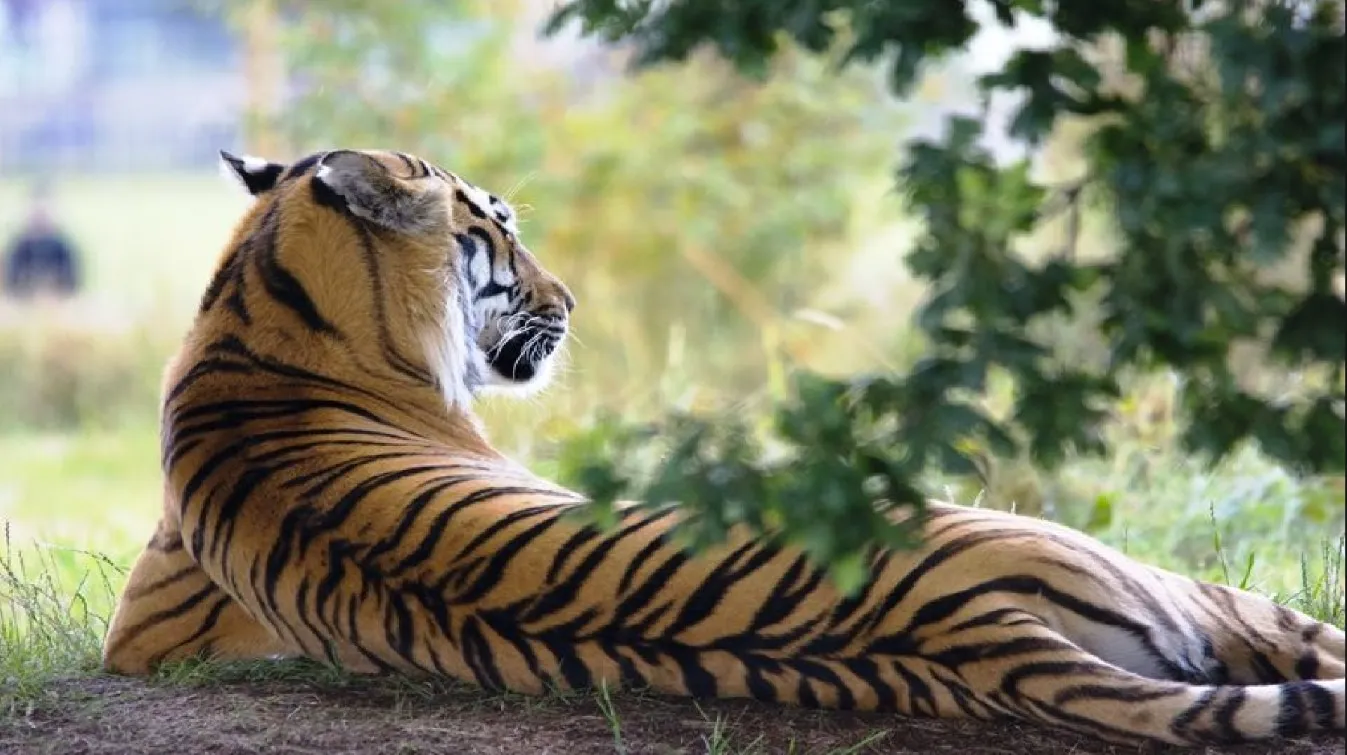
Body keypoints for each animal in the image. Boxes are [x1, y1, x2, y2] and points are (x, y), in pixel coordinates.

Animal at [102, 147, 1345, 748]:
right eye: (496, 227)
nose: (572, 301)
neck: (257, 309)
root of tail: (977, 635)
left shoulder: (143, 627)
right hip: (1166, 579)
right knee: (1308, 636)